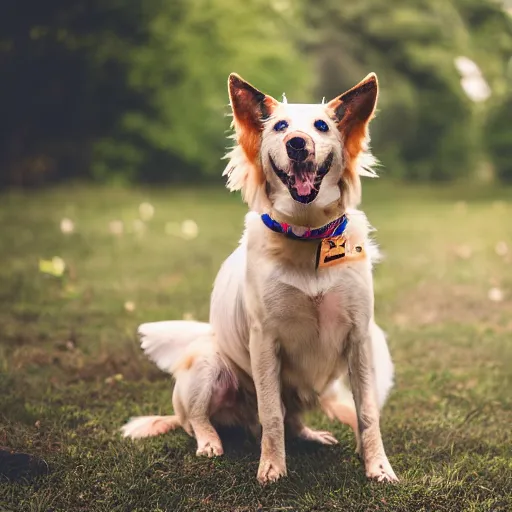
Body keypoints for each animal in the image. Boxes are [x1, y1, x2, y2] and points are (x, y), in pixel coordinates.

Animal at [122, 72, 398, 484]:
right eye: (280, 126)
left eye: (322, 126)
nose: (297, 143)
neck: (307, 235)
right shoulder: (265, 339)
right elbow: (270, 413)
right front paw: (272, 467)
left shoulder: (359, 336)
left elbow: (366, 413)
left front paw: (378, 467)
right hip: (208, 363)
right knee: (200, 419)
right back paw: (210, 442)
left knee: (292, 419)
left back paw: (312, 435)